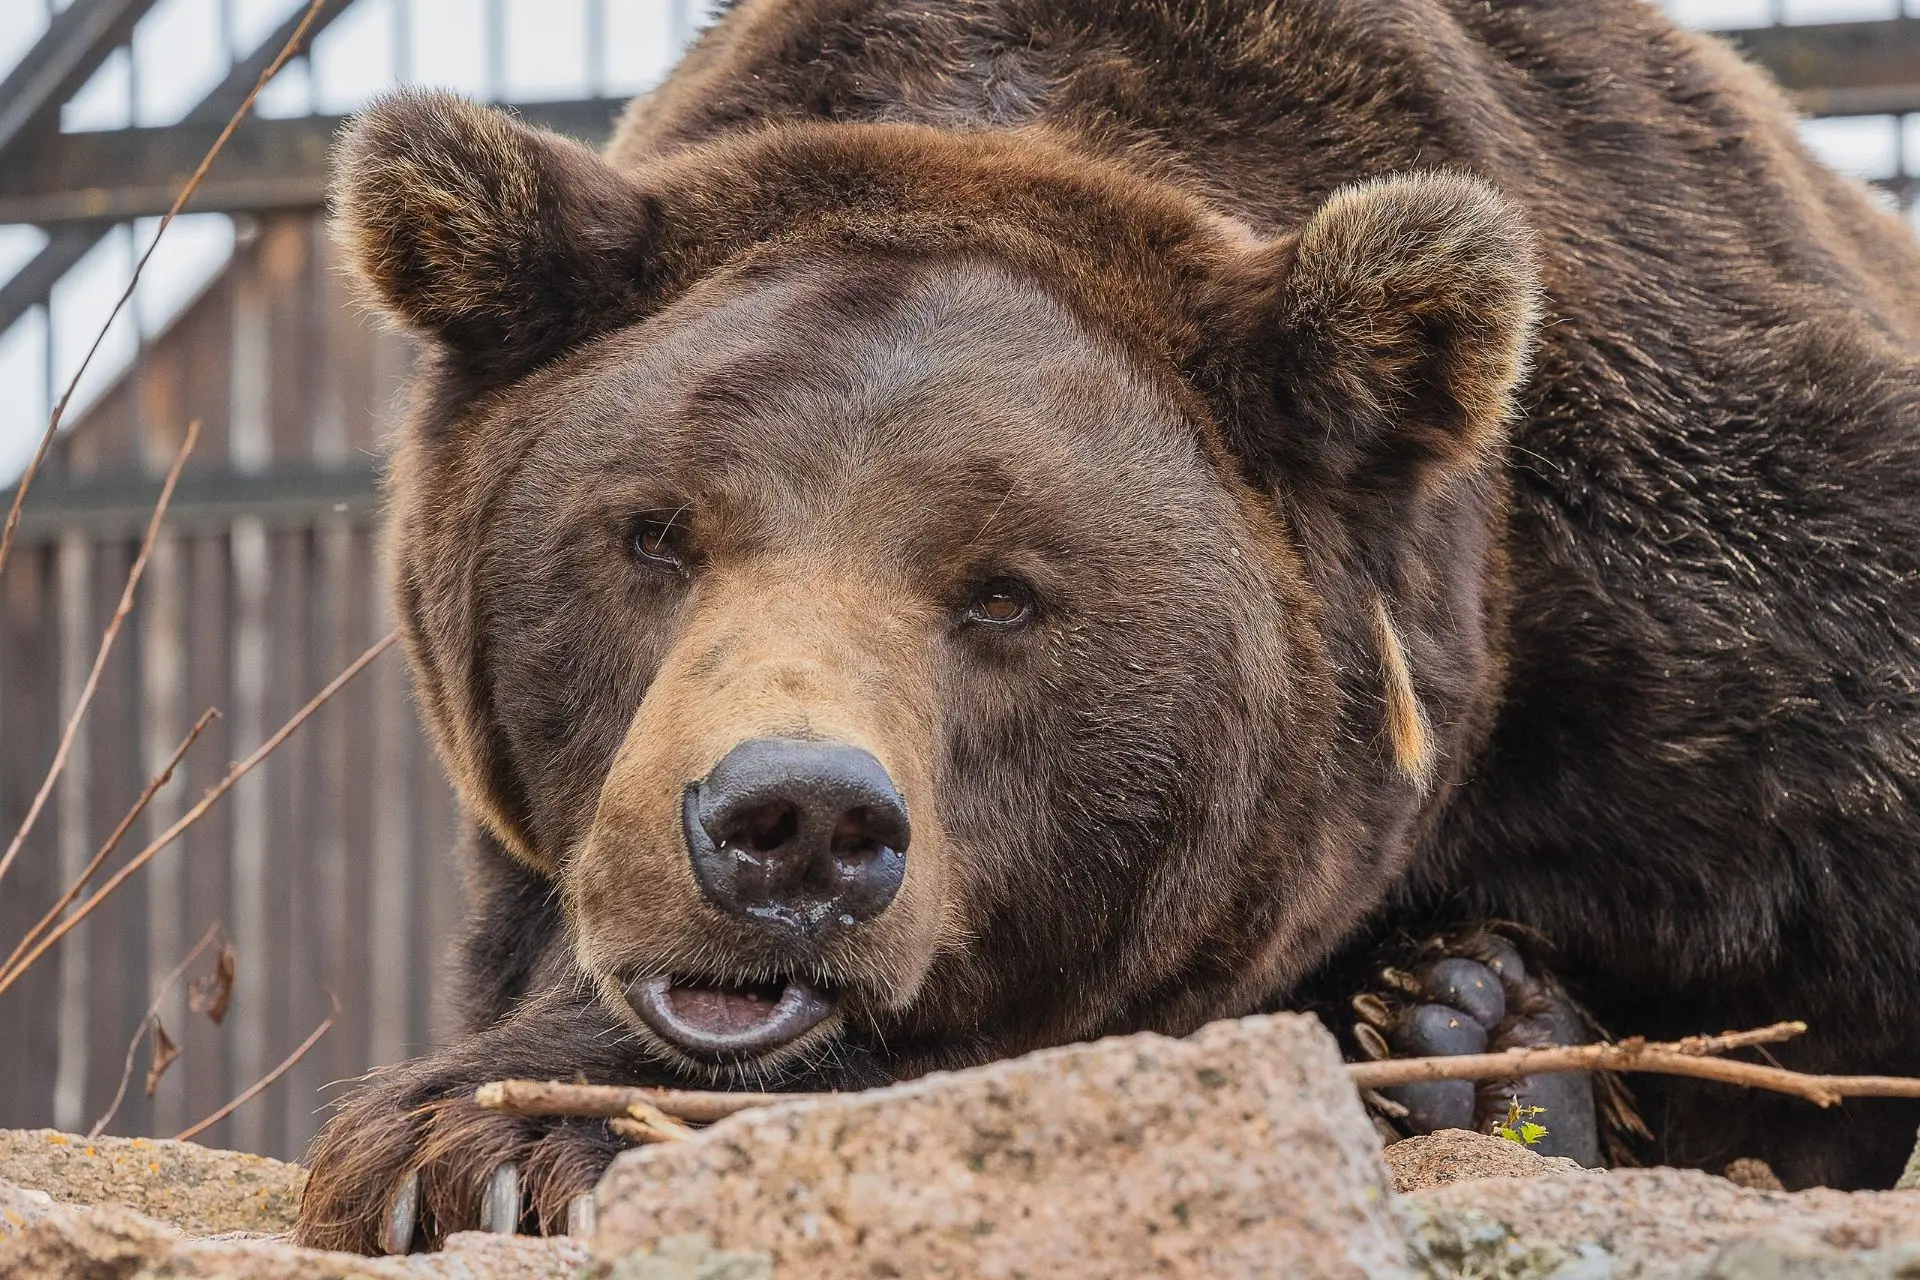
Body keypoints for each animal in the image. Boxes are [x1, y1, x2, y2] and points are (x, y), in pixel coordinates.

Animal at [298, 0, 1920, 1254]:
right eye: (654, 531)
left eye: (1004, 589)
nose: (793, 824)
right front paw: (481, 1143)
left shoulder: (1736, 606)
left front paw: (512, 1143)